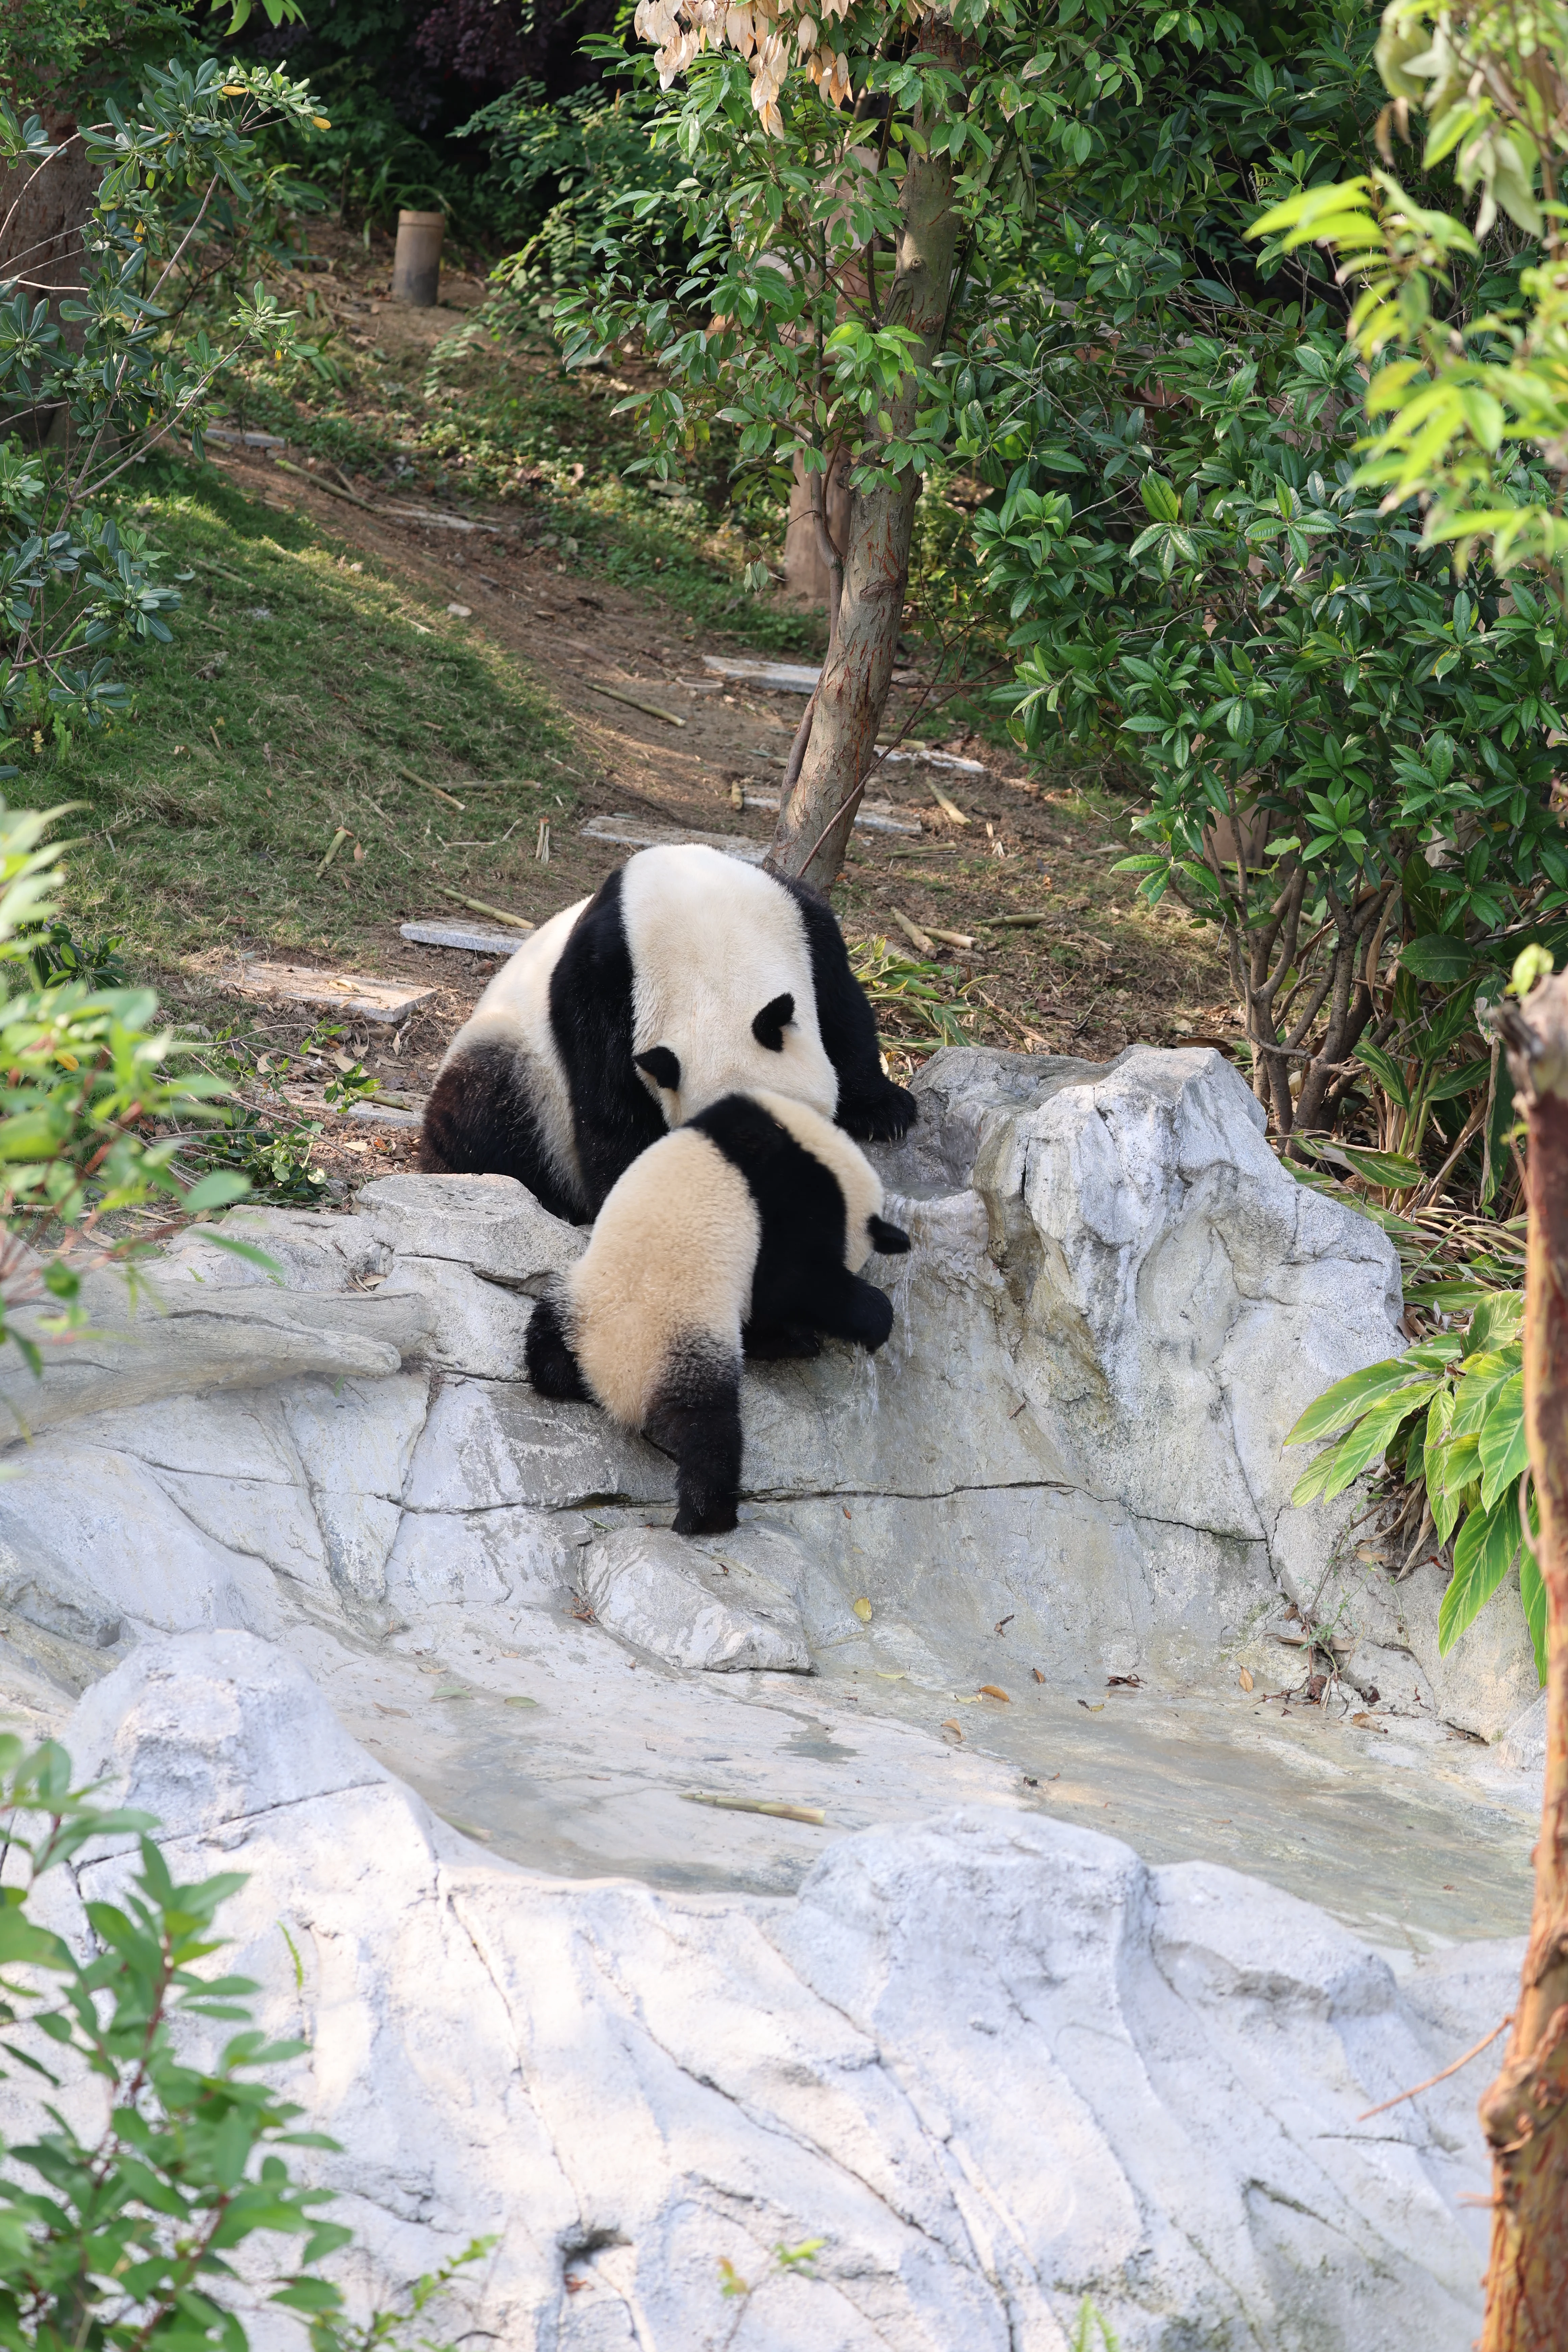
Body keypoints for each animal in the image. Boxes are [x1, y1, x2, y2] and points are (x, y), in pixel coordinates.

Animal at [420, 843, 916, 1222]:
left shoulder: (805, 925)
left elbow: (845, 1014)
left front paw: (885, 1112)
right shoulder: (602, 983)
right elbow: (611, 1104)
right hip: (519, 1065)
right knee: (481, 1109)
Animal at [523, 1087, 911, 1535]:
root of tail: (613, 1383)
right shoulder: (793, 1201)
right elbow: (792, 1284)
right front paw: (856, 1324)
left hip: (579, 1302)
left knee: (546, 1338)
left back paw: (559, 1380)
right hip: (685, 1350)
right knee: (708, 1433)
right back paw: (708, 1517)